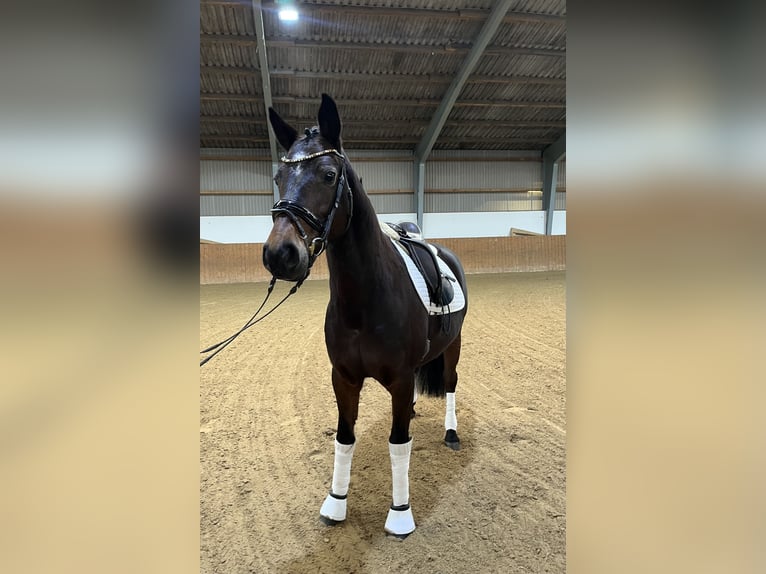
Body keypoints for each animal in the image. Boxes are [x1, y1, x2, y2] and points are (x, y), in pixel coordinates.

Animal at [264, 95, 468, 540]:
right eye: (278, 176)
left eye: (328, 175)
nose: (279, 254)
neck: (365, 303)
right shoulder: (344, 378)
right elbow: (344, 439)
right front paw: (336, 503)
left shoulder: (401, 377)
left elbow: (398, 443)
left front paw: (400, 513)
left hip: (454, 348)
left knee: (449, 384)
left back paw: (451, 433)